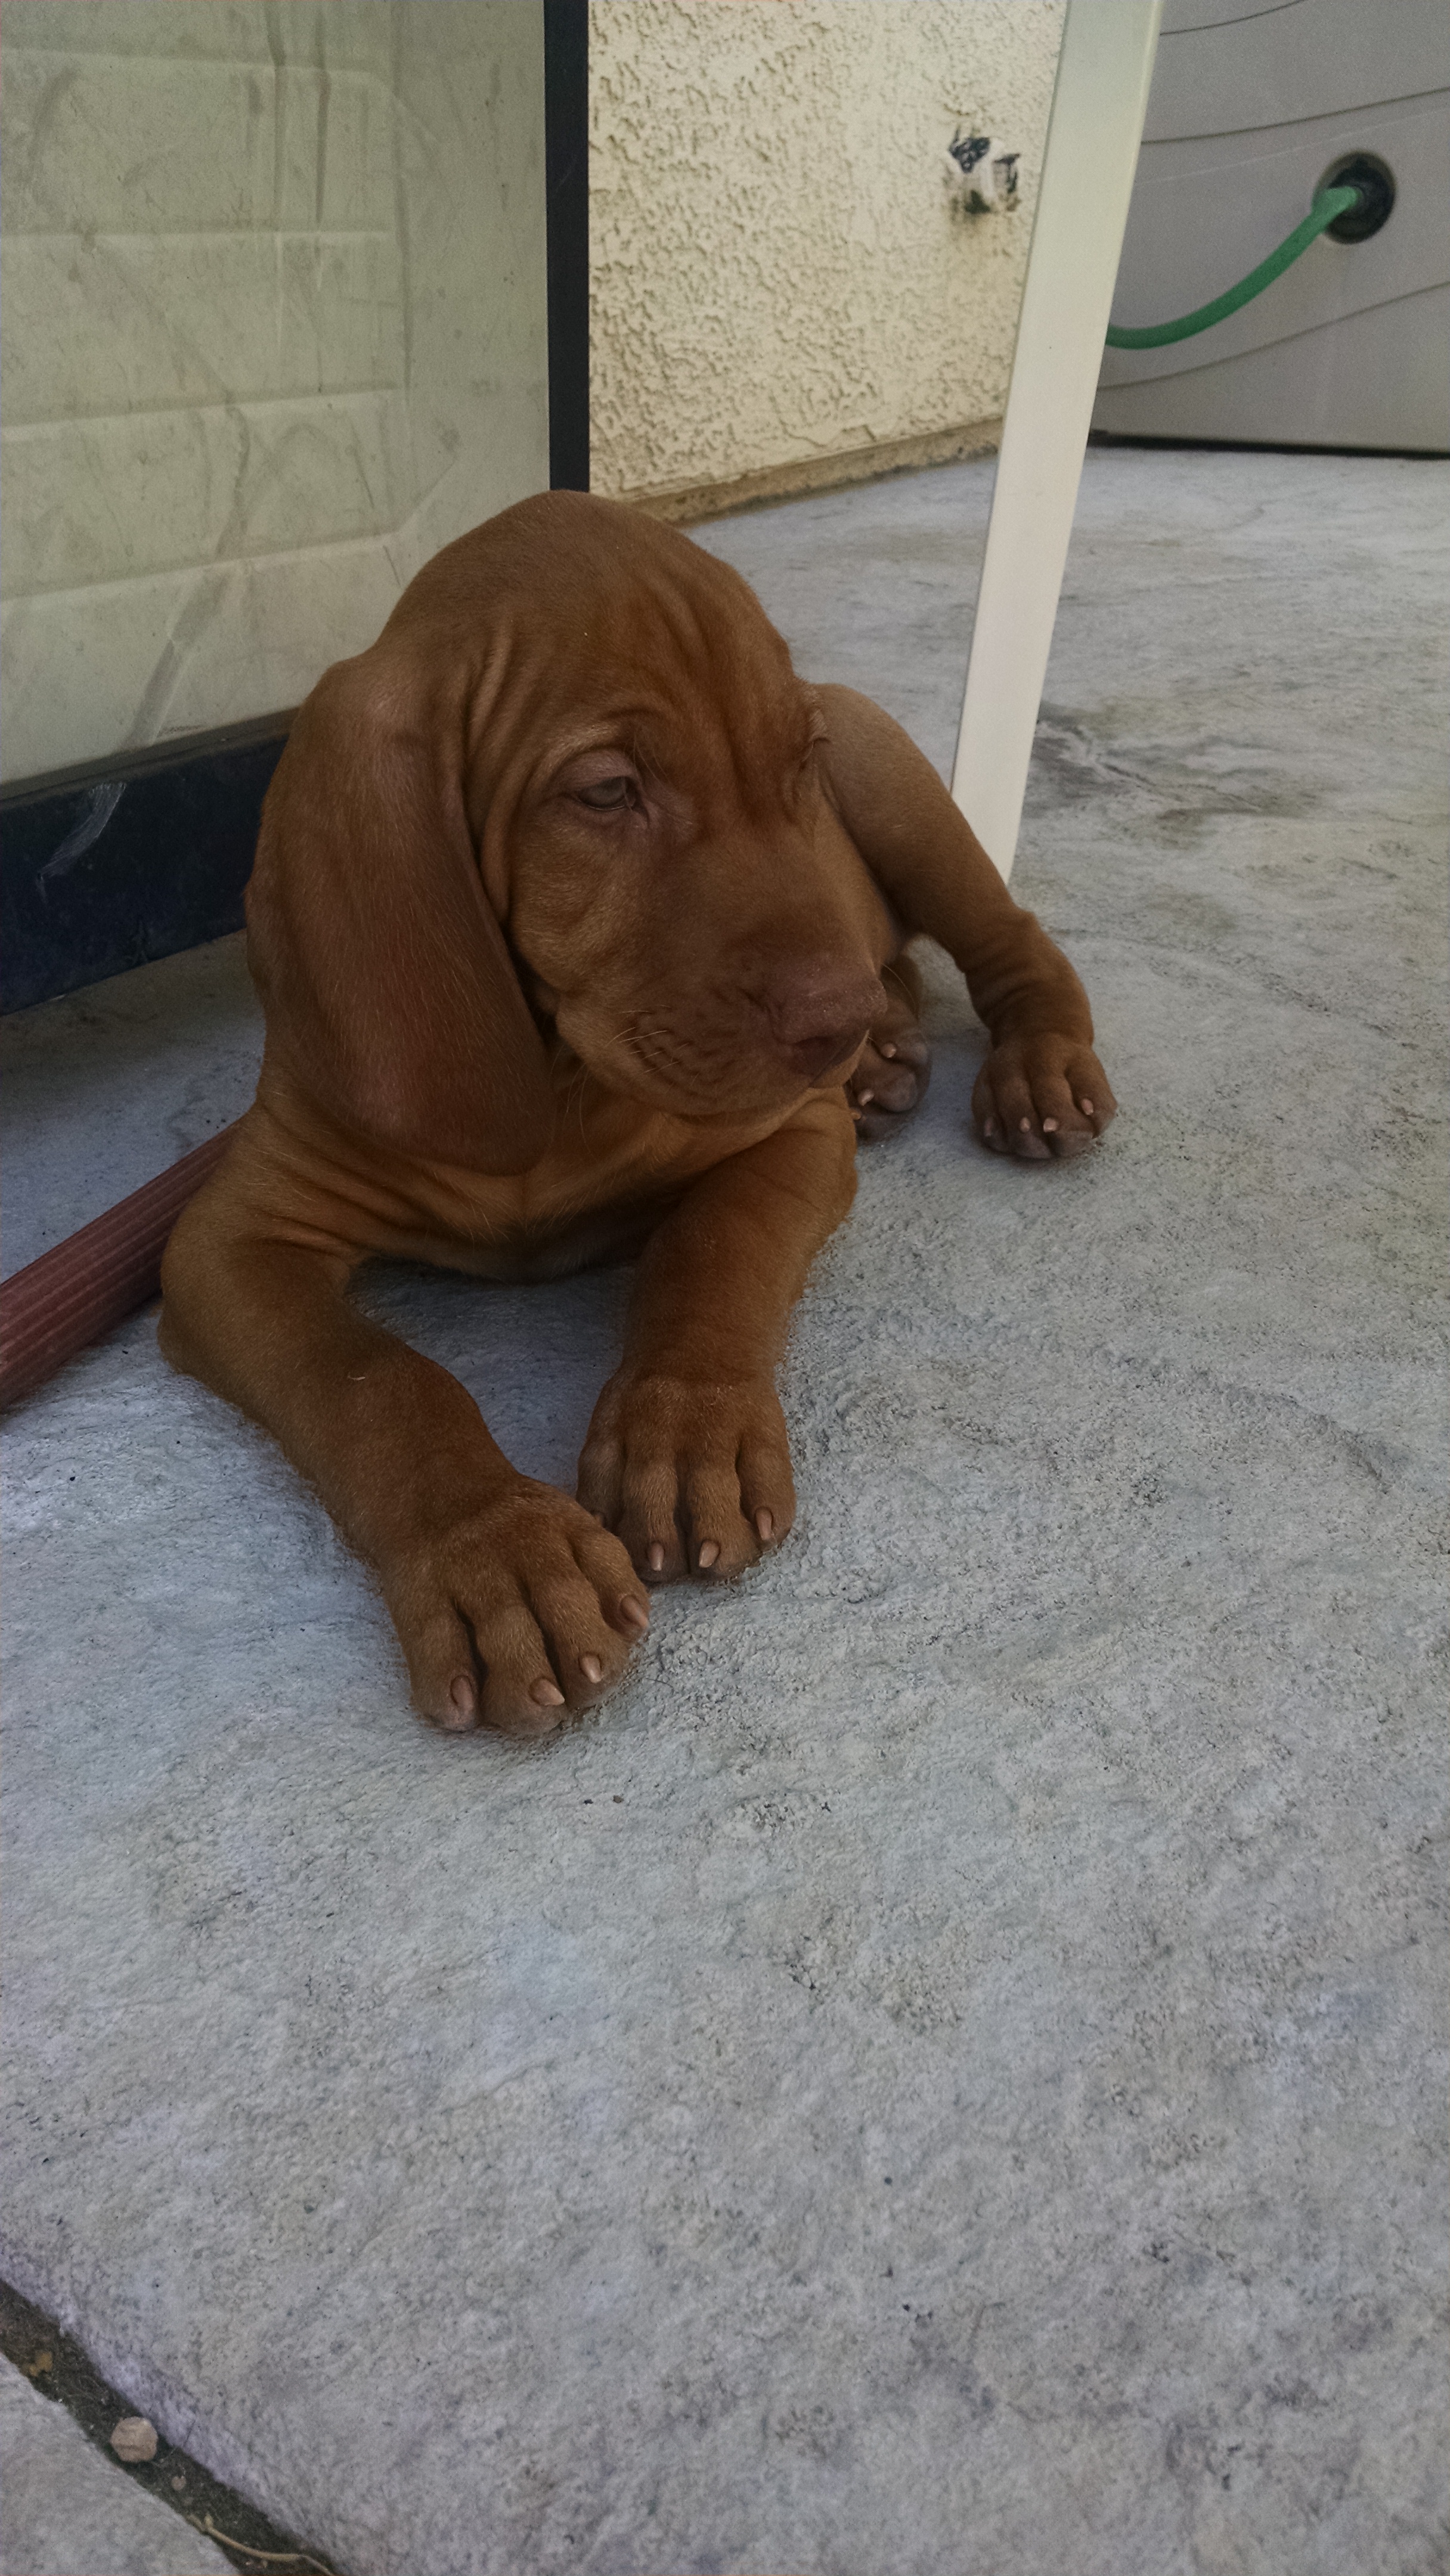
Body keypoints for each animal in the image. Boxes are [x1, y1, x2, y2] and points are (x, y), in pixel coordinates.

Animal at [160, 491, 1115, 1737]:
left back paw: (1021, 1064)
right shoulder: (227, 1244)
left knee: (1008, 941)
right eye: (607, 793)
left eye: (795, 763)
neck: (553, 1083)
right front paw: (498, 1555)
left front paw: (684, 1427)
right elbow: (373, 1382)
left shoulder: (785, 1136)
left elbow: (713, 1250)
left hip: (900, 795)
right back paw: (885, 1058)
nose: (832, 1018)